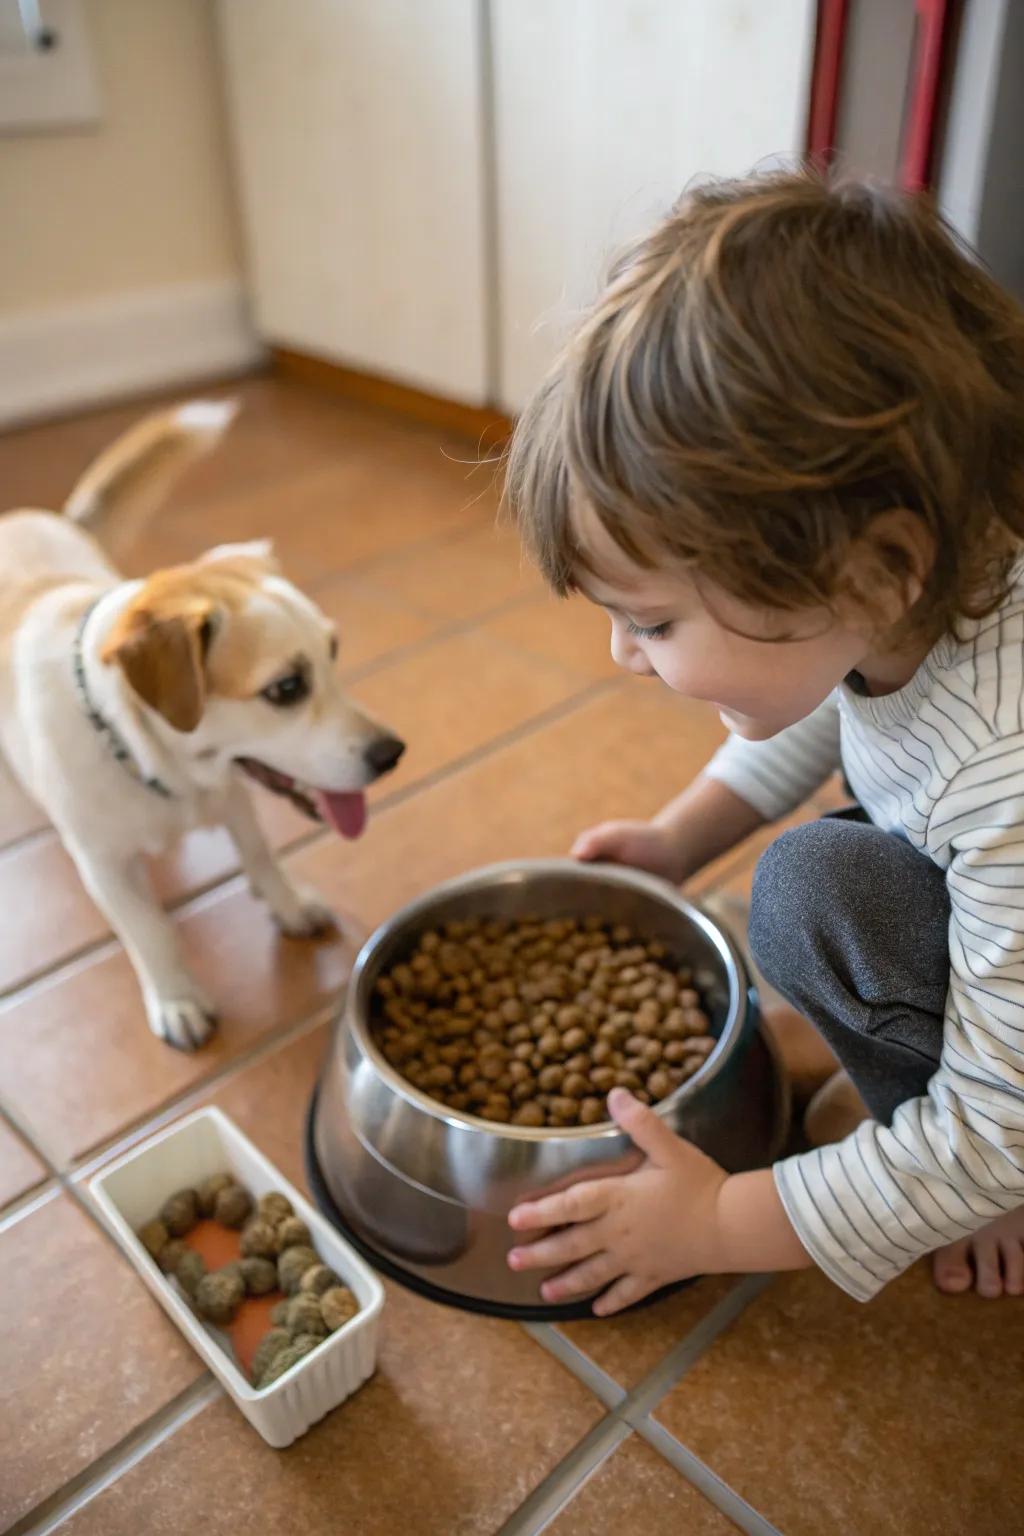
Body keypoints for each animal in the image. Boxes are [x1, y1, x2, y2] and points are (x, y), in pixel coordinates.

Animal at [0, 396, 408, 1050]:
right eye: (286, 688)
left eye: (334, 651)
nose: (392, 754)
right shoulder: (103, 865)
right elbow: (149, 931)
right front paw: (178, 999)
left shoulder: (235, 796)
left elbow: (261, 855)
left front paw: (287, 904)